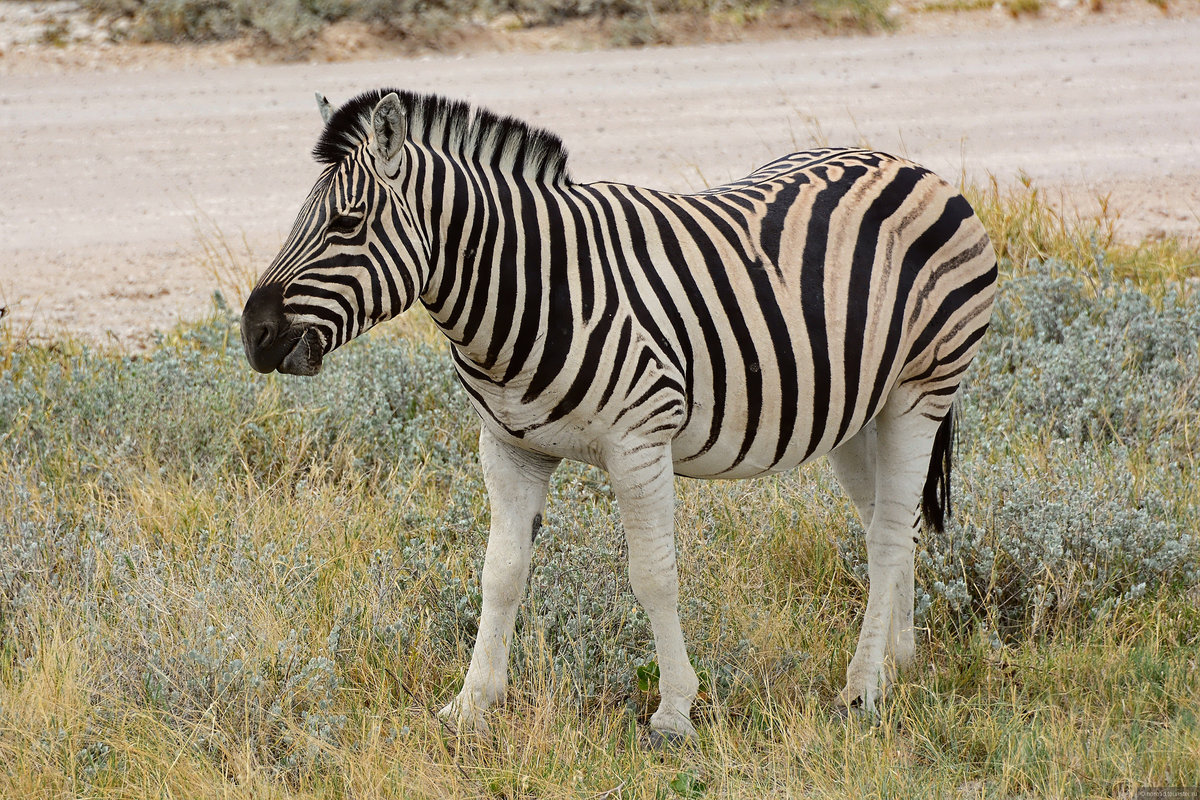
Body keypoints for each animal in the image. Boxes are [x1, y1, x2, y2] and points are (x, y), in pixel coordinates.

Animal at [241, 89, 993, 743]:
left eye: (347, 223)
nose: (253, 334)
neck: (535, 287)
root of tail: (909, 165)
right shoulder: (508, 446)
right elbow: (500, 574)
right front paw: (471, 703)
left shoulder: (640, 440)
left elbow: (654, 576)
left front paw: (675, 711)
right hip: (856, 411)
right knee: (891, 526)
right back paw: (898, 664)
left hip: (920, 390)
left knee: (889, 535)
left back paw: (862, 689)